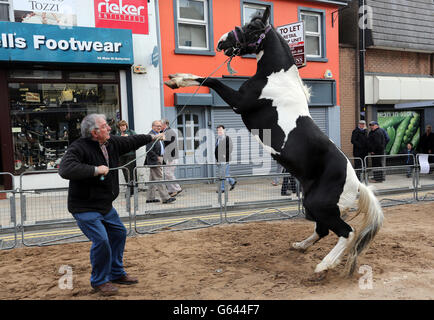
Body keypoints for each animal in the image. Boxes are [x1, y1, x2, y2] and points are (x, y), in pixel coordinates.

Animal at [164, 6, 382, 278]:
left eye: (252, 27)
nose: (222, 41)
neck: (275, 79)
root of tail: (357, 185)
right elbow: (206, 79)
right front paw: (175, 78)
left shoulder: (239, 102)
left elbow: (210, 80)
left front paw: (176, 80)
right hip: (312, 205)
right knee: (322, 230)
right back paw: (300, 246)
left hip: (320, 206)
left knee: (347, 233)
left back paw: (323, 265)